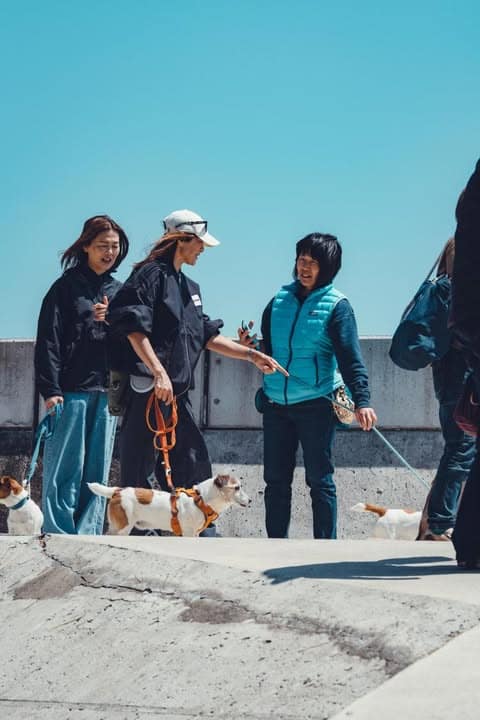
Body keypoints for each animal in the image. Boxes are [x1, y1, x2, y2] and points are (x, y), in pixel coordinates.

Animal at [88, 474, 250, 537]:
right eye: (237, 487)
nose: (250, 501)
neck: (201, 500)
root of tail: (118, 491)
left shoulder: (195, 533)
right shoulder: (188, 533)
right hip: (123, 527)